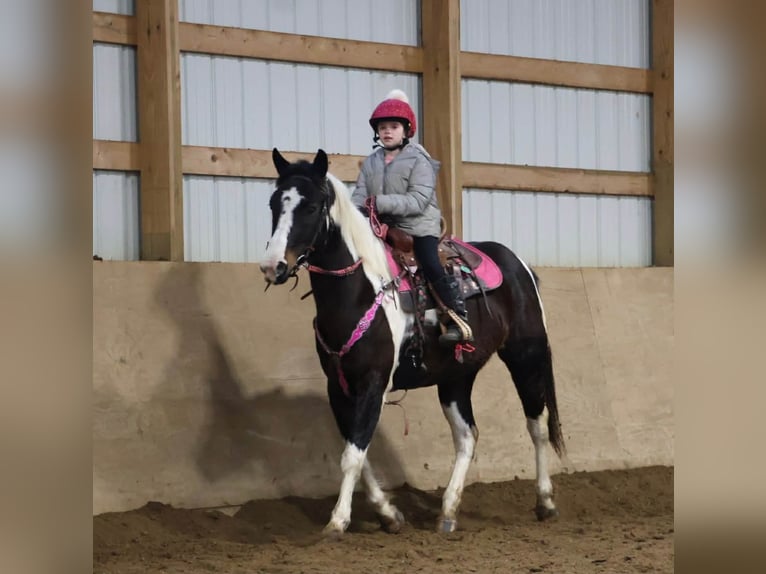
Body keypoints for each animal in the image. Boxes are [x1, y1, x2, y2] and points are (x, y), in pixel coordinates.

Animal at [259, 148, 565, 535]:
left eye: (312, 207)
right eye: (273, 204)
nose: (273, 266)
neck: (360, 291)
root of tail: (519, 264)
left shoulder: (373, 382)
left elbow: (352, 455)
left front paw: (338, 521)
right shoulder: (339, 387)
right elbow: (359, 453)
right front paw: (389, 514)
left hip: (526, 356)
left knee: (537, 425)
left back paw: (545, 502)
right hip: (456, 377)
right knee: (467, 436)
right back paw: (448, 512)